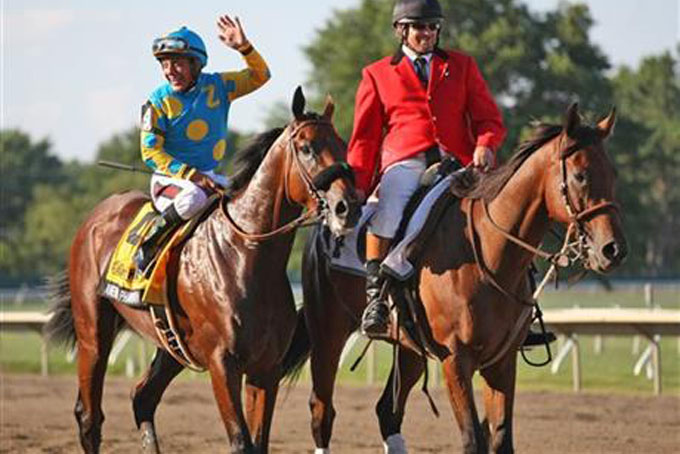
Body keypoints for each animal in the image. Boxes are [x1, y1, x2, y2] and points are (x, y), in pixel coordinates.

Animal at [45, 87, 362, 452]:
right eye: (307, 148)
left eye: (342, 144)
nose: (348, 207)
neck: (245, 256)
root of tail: (97, 215)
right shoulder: (222, 363)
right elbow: (241, 441)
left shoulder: (265, 368)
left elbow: (260, 442)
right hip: (93, 332)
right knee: (89, 416)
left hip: (170, 346)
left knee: (143, 397)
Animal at [282, 103, 628, 454]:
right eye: (580, 175)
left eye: (613, 175)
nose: (613, 249)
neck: (488, 254)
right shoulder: (456, 361)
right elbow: (473, 439)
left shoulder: (501, 362)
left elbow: (501, 439)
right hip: (329, 334)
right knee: (322, 411)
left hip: (410, 349)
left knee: (388, 412)